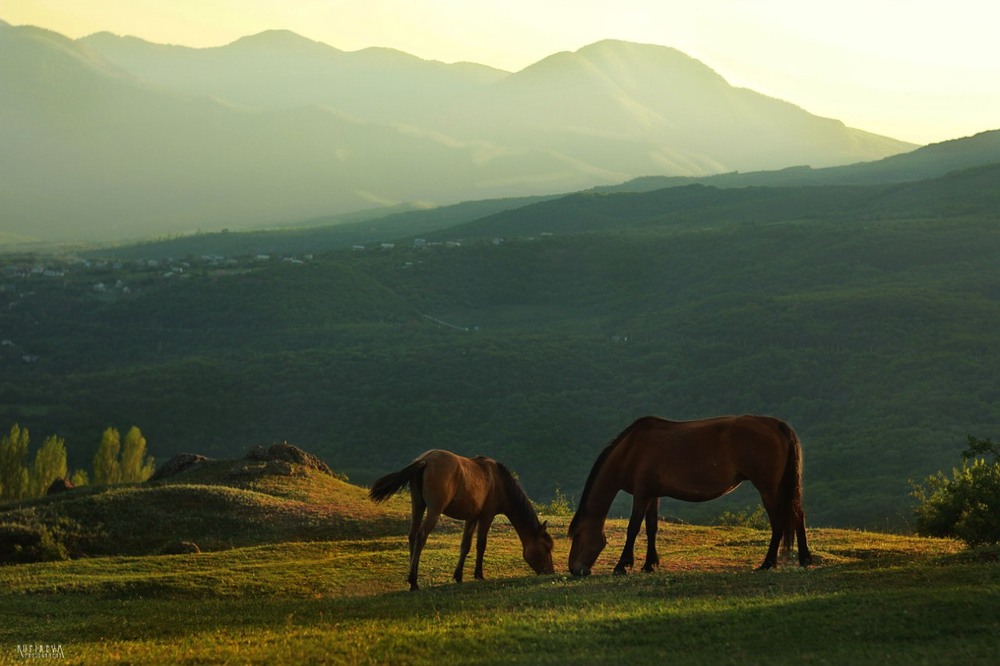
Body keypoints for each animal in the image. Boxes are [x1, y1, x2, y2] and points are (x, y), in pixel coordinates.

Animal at [370, 448, 556, 588]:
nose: (550, 572)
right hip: (434, 510)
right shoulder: (487, 515)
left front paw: (458, 576)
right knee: (421, 536)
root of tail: (425, 460)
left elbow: (465, 546)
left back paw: (410, 577)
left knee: (412, 535)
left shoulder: (471, 518)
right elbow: (481, 544)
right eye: (546, 547)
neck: (499, 482)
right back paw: (414, 581)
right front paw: (479, 574)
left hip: (418, 505)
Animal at [572, 416, 812, 576]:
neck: (631, 450)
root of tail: (776, 425)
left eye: (576, 535)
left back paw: (768, 562)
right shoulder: (652, 495)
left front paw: (622, 565)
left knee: (779, 522)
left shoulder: (641, 494)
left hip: (768, 488)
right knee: (798, 515)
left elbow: (633, 528)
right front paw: (650, 564)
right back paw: (804, 558)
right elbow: (651, 528)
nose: (574, 569)